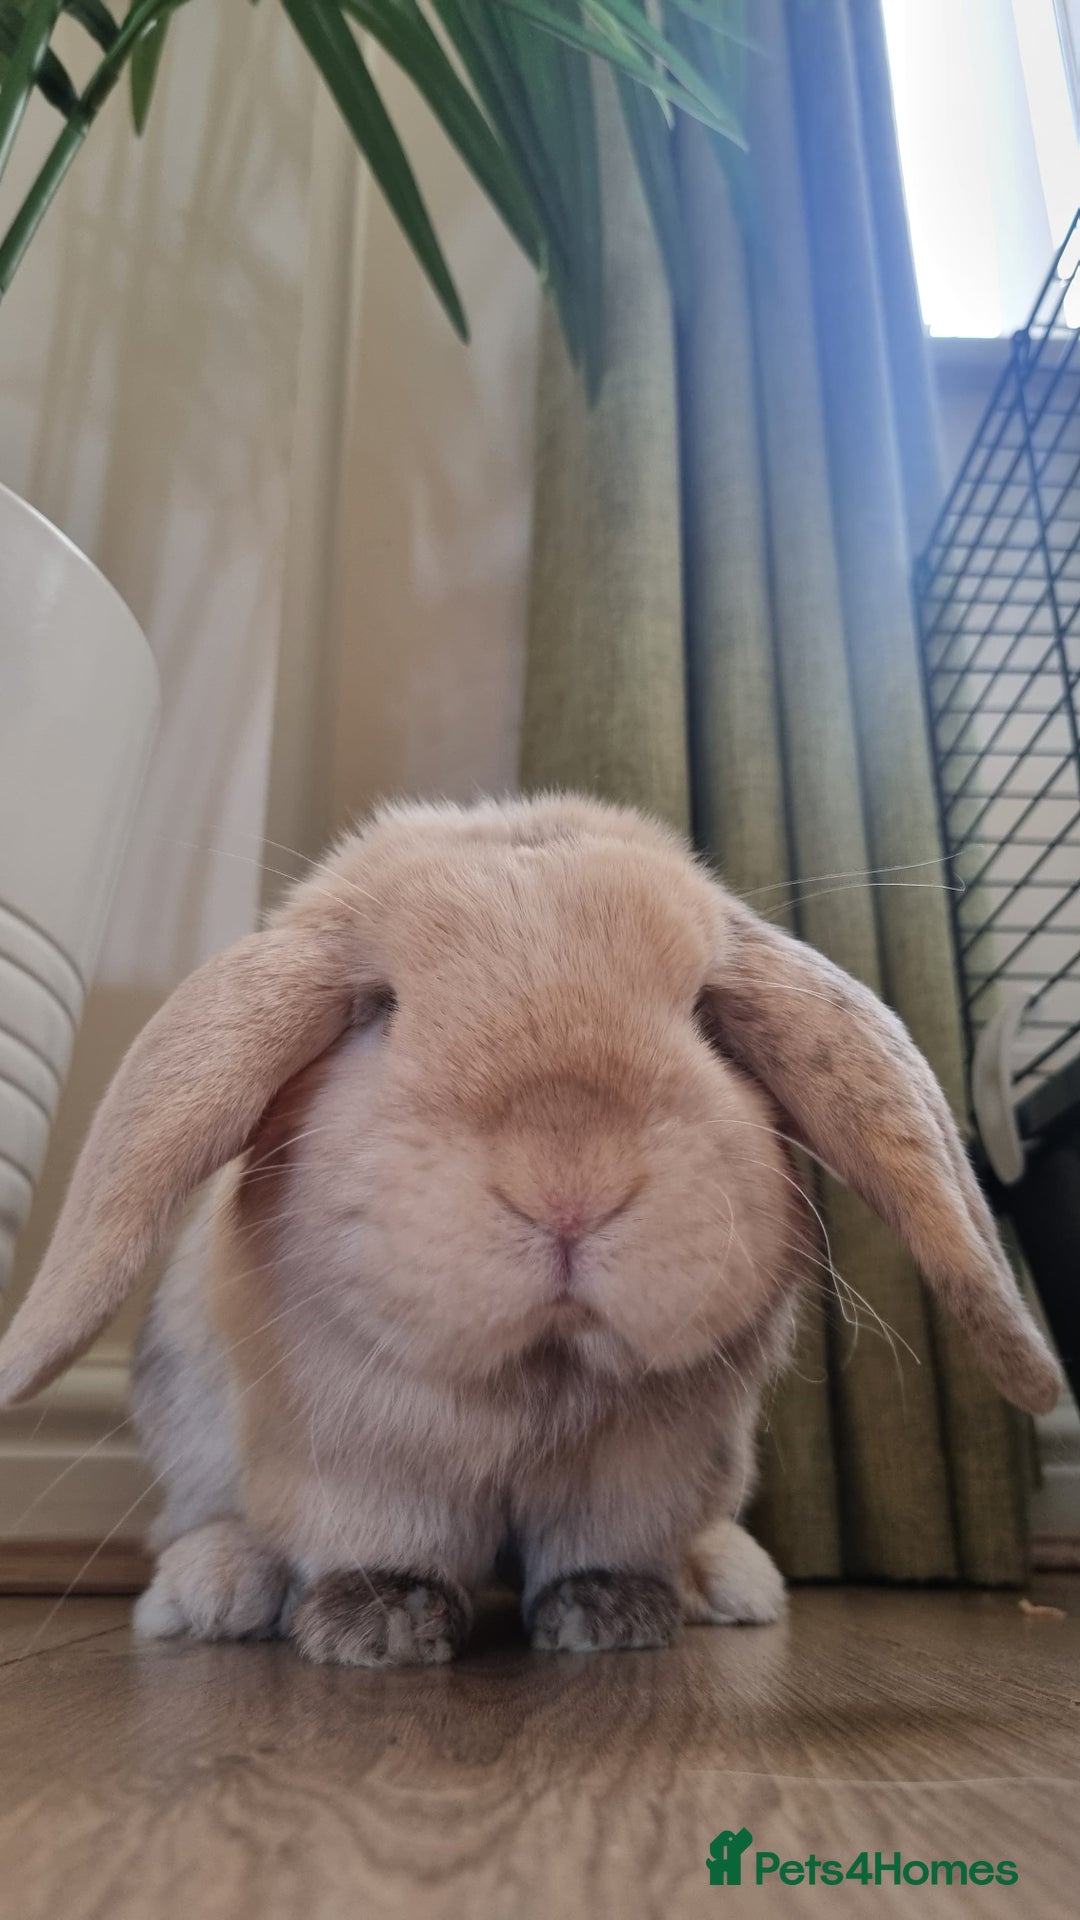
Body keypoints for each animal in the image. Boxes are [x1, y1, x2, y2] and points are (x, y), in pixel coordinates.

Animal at [0, 794, 1061, 1666]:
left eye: (706, 1016)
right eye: (380, 1009)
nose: (569, 1186)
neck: (538, 1378)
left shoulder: (645, 1465)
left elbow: (605, 1543)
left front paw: (612, 1616)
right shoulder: (354, 1454)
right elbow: (381, 1540)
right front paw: (374, 1626)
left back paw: (727, 1581)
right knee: (198, 1519)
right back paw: (213, 1592)